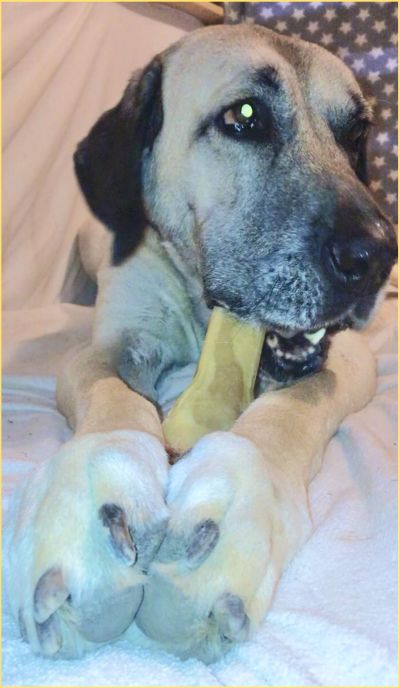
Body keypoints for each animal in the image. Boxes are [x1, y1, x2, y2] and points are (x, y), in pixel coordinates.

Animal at [5, 23, 396, 663]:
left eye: (355, 133)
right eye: (244, 117)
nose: (377, 258)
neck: (200, 306)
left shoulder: (349, 358)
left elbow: (289, 408)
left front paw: (238, 497)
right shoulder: (109, 342)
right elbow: (115, 396)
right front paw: (94, 495)